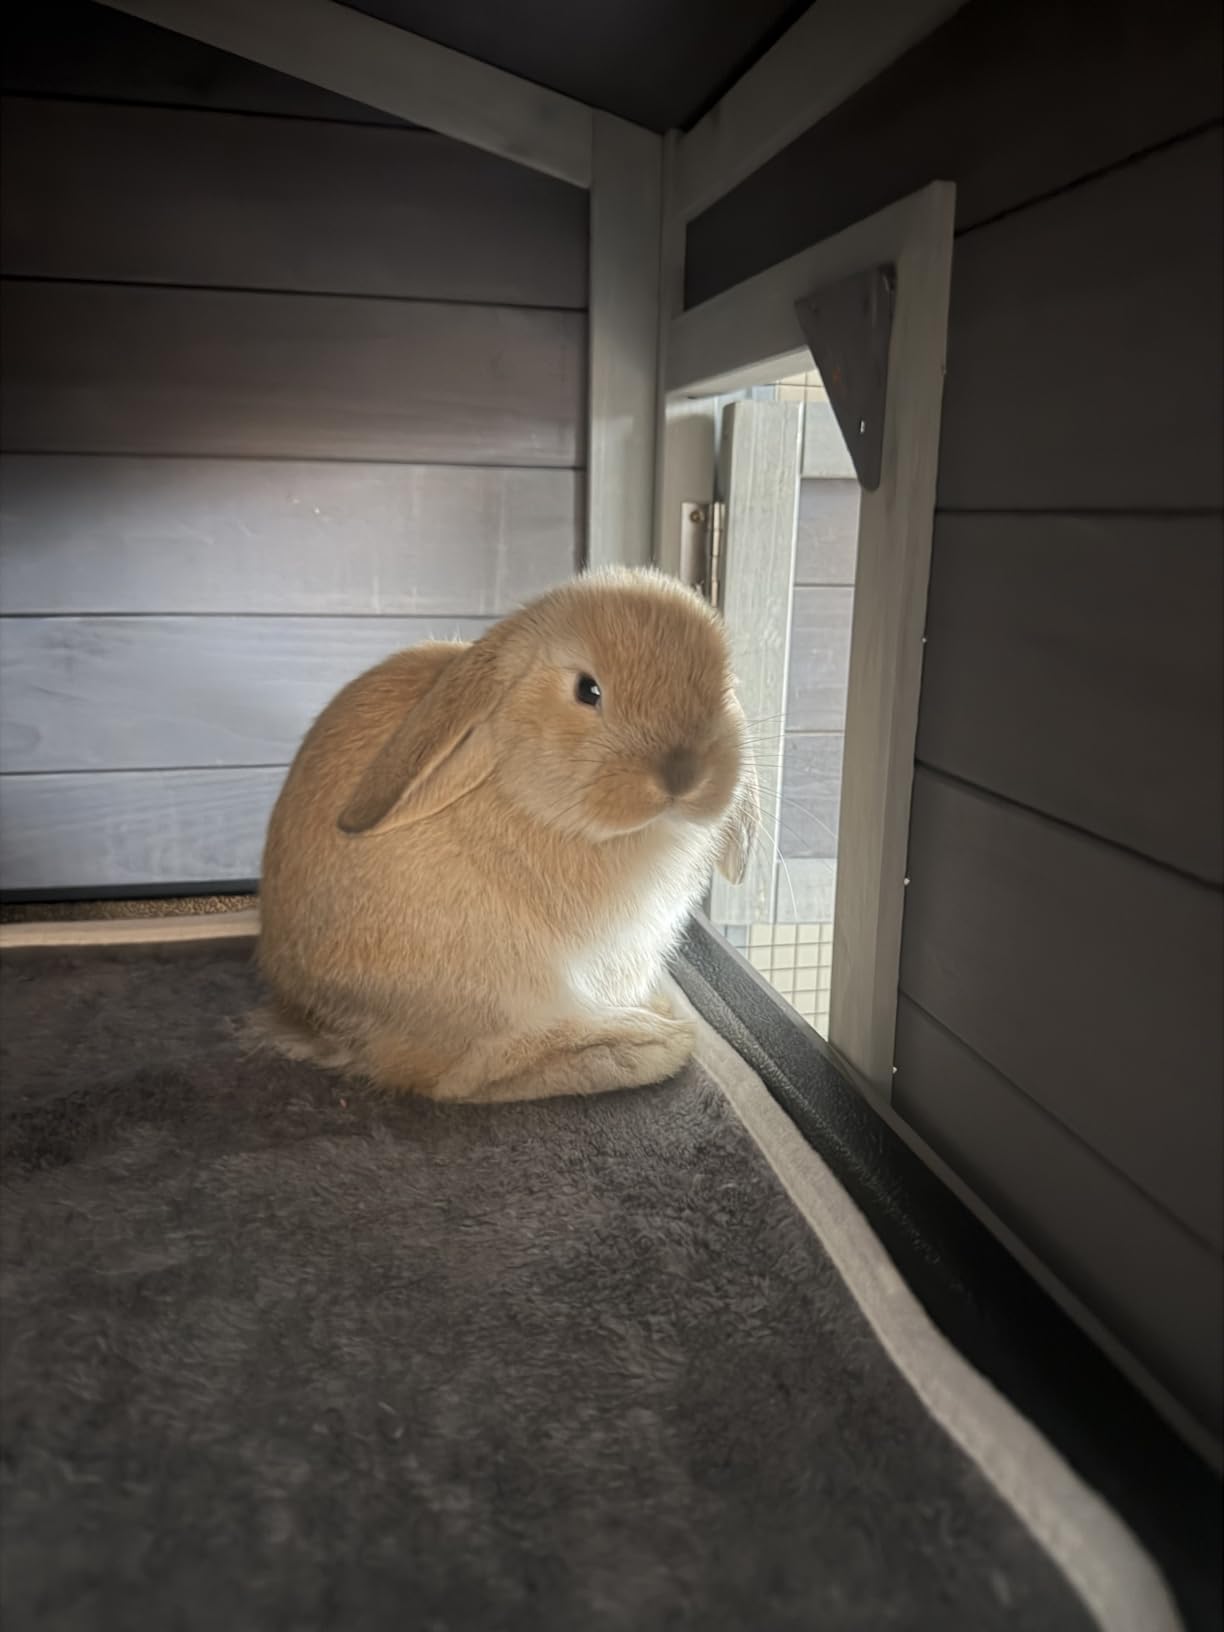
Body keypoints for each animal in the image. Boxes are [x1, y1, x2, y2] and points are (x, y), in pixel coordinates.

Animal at [256, 566, 758, 1103]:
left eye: (723, 684)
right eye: (588, 690)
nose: (683, 777)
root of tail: (311, 1018)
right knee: (462, 1078)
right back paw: (646, 1044)